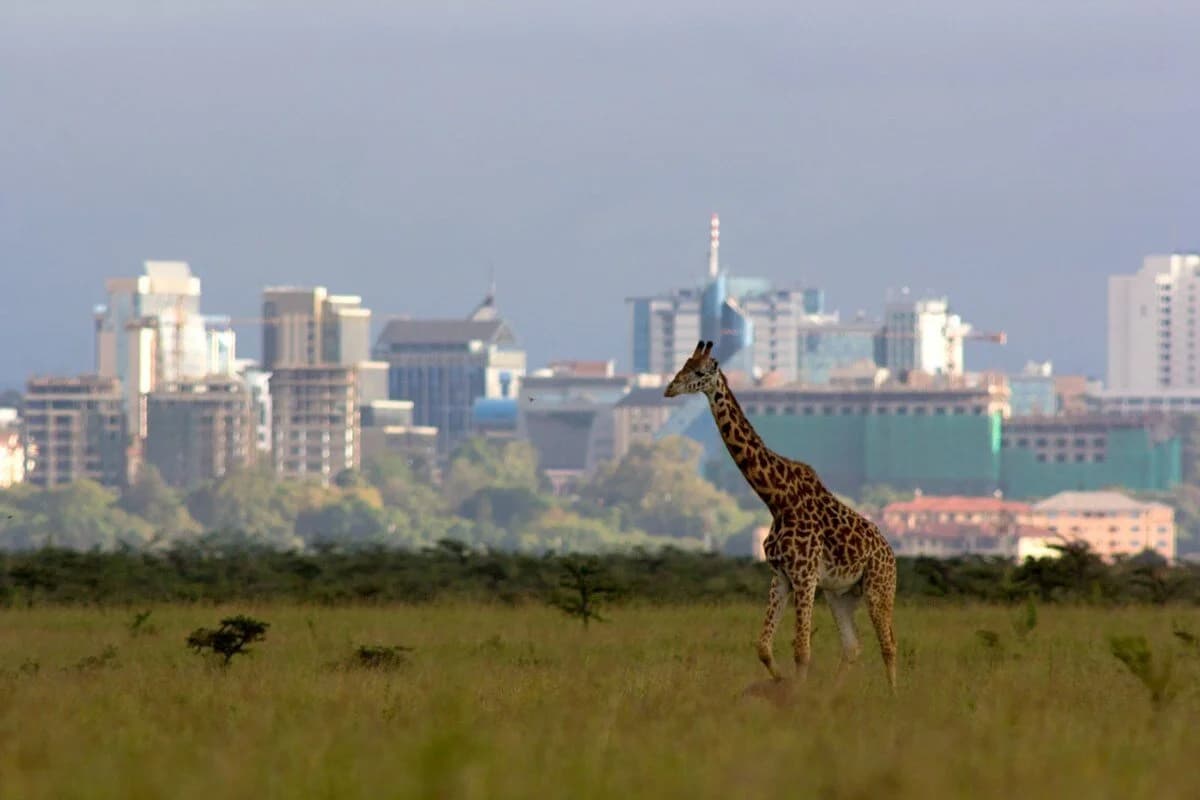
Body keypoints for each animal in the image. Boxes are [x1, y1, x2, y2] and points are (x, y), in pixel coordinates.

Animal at [664, 340, 898, 690]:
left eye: (700, 372)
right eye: (683, 365)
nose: (669, 388)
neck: (776, 499)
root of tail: (891, 555)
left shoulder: (805, 575)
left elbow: (802, 649)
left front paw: (795, 694)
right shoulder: (781, 577)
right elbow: (764, 646)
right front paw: (783, 683)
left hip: (879, 588)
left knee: (889, 645)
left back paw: (894, 696)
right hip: (840, 594)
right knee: (852, 646)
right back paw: (832, 695)